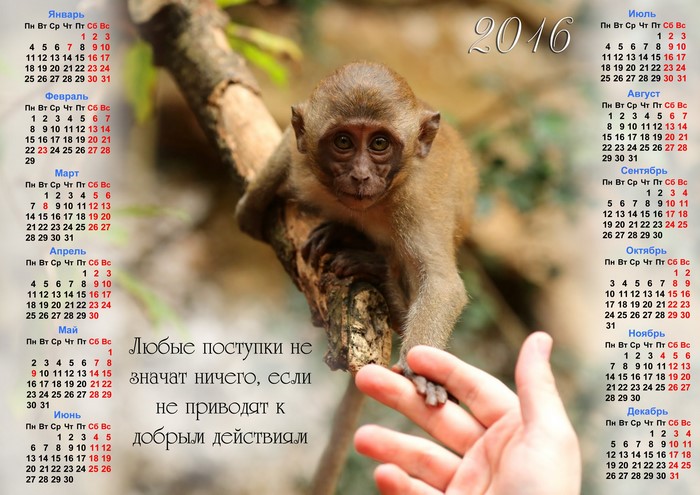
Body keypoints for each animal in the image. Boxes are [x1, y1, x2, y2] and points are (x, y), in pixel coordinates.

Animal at [236, 61, 477, 406]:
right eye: (343, 142)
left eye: (379, 144)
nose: (361, 175)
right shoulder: (301, 152)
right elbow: (286, 144)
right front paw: (253, 203)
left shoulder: (415, 202)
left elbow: (442, 283)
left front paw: (422, 372)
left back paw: (378, 271)